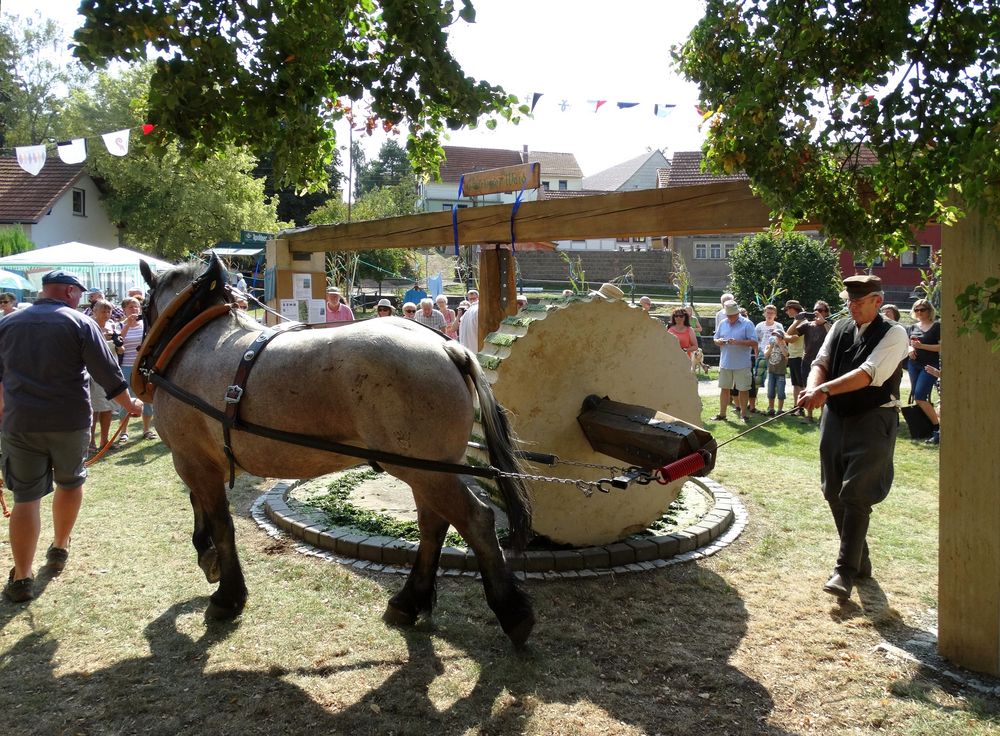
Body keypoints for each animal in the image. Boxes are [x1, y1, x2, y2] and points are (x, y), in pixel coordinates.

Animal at [139, 256, 540, 648]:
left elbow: (222, 524)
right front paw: (208, 558)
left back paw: (512, 612)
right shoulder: (205, 461)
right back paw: (409, 601)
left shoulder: (191, 459)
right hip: (429, 470)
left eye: (143, 308)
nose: (140, 372)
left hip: (427, 471)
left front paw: (226, 595)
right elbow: (200, 507)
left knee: (476, 521)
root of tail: (448, 347)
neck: (196, 339)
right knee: (433, 525)